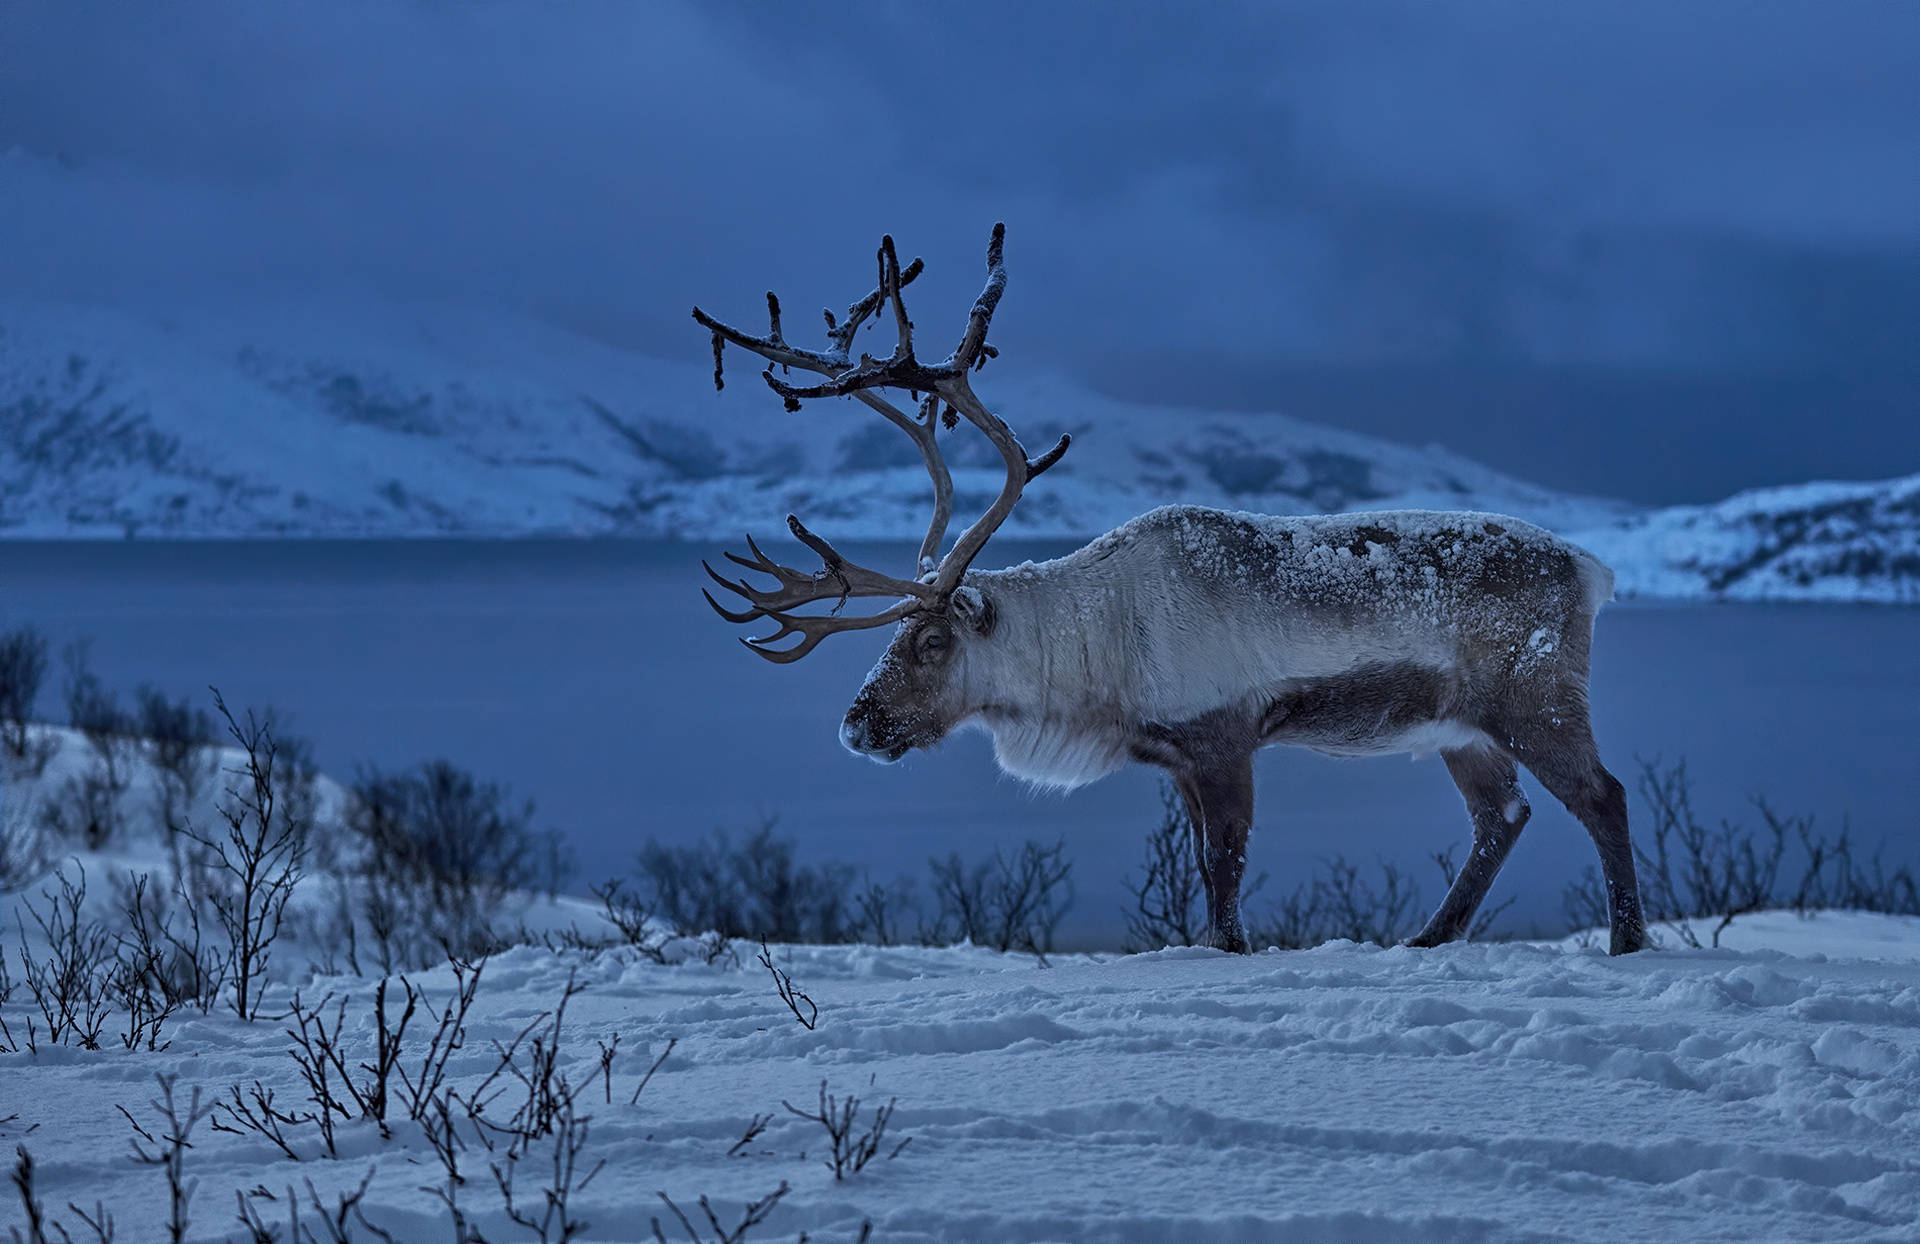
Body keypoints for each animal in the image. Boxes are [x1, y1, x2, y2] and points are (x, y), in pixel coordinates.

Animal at [692, 225, 1647, 957]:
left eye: (932, 642)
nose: (856, 725)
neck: (1100, 644)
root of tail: (1592, 569)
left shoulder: (1225, 738)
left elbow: (1226, 876)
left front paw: (1233, 950)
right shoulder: (1179, 757)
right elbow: (1202, 872)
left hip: (1534, 696)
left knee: (1602, 795)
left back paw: (1625, 940)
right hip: (1459, 726)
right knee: (1503, 816)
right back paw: (1426, 937)